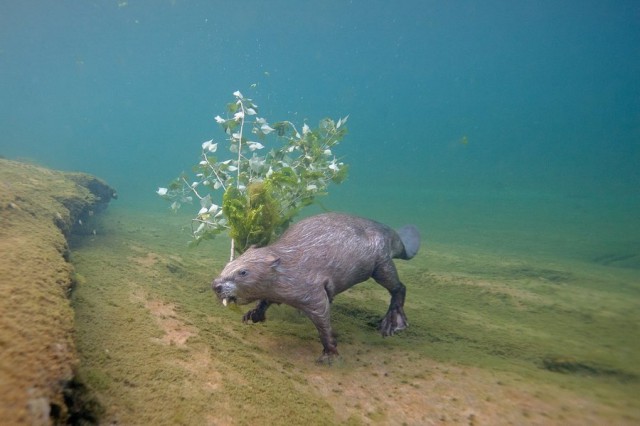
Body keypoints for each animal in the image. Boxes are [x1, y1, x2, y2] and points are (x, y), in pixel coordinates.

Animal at [212, 211, 422, 362]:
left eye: (243, 272)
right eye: (227, 265)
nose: (216, 285)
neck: (290, 263)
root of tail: (396, 236)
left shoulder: (310, 289)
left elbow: (322, 317)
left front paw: (330, 353)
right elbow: (266, 300)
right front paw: (252, 315)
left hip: (381, 263)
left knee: (398, 287)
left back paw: (392, 324)